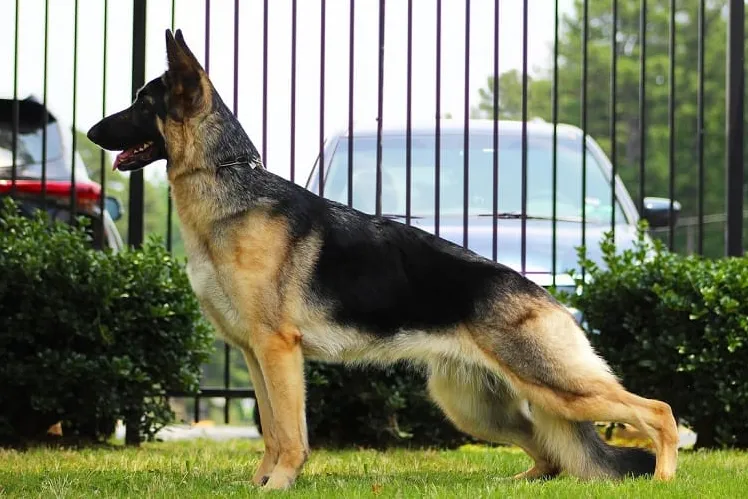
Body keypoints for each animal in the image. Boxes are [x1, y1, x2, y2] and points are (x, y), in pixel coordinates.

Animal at [86, 29, 676, 490]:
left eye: (142, 104)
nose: (90, 132)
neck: (228, 183)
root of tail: (545, 296)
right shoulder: (255, 355)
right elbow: (272, 431)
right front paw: (260, 483)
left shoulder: (278, 351)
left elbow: (290, 434)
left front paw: (278, 484)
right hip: (474, 406)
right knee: (550, 453)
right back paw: (519, 481)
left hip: (557, 388)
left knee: (658, 411)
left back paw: (664, 477)